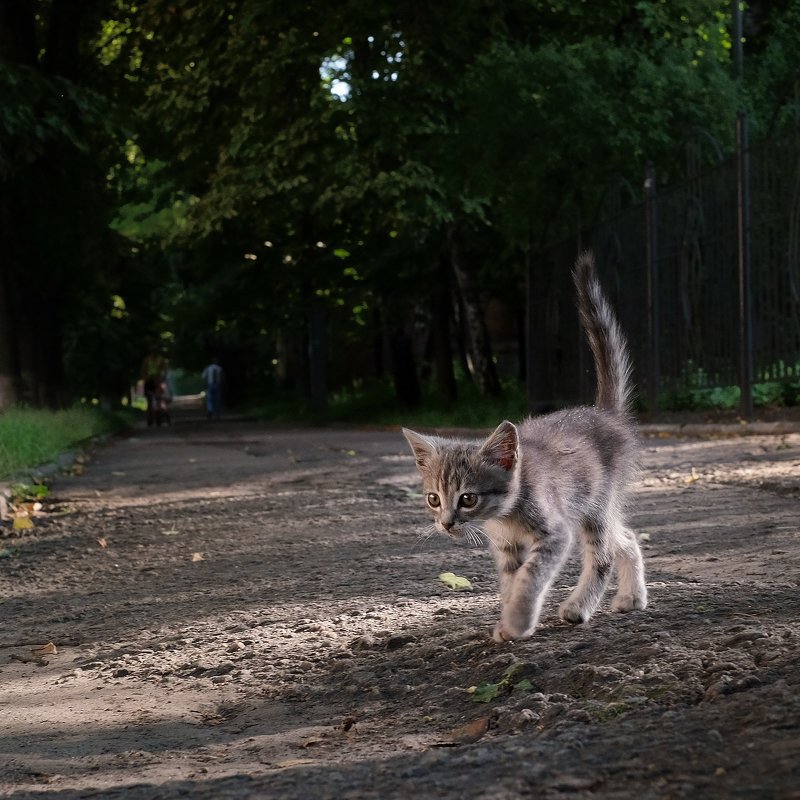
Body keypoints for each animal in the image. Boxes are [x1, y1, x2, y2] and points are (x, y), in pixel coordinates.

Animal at [404, 255, 648, 644]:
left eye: (468, 498)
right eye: (433, 499)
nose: (446, 524)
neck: (504, 516)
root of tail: (602, 413)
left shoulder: (555, 532)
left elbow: (530, 578)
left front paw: (518, 620)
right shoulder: (506, 548)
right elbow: (511, 580)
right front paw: (509, 615)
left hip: (595, 503)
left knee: (604, 552)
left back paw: (579, 607)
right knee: (624, 536)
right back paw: (632, 596)